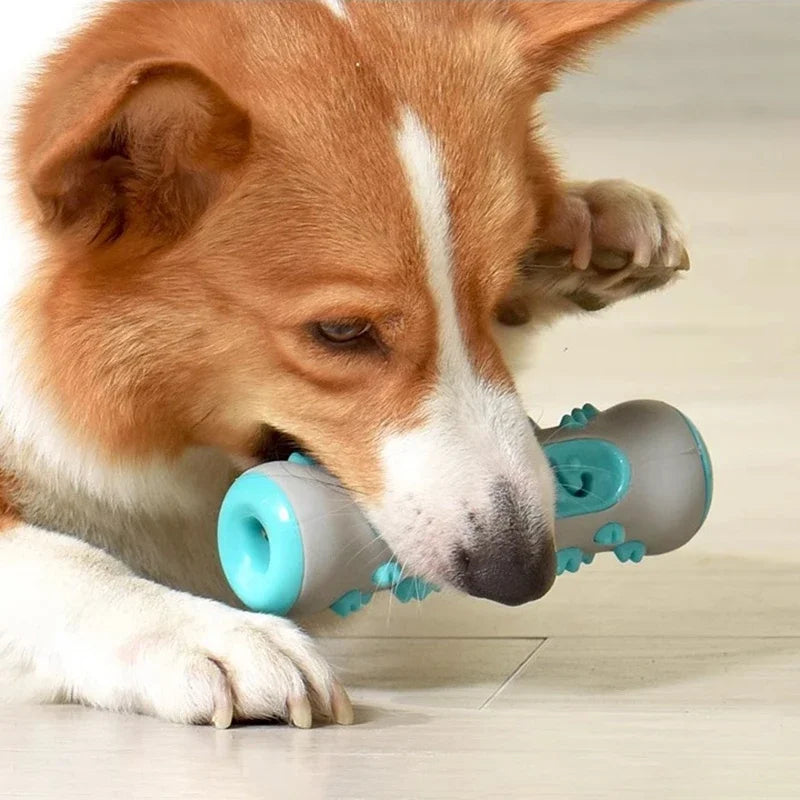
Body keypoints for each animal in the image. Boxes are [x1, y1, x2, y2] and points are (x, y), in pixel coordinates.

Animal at [0, 0, 688, 728]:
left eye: (498, 298)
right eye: (341, 332)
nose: (526, 575)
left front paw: (587, 219)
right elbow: (64, 561)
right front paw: (207, 633)